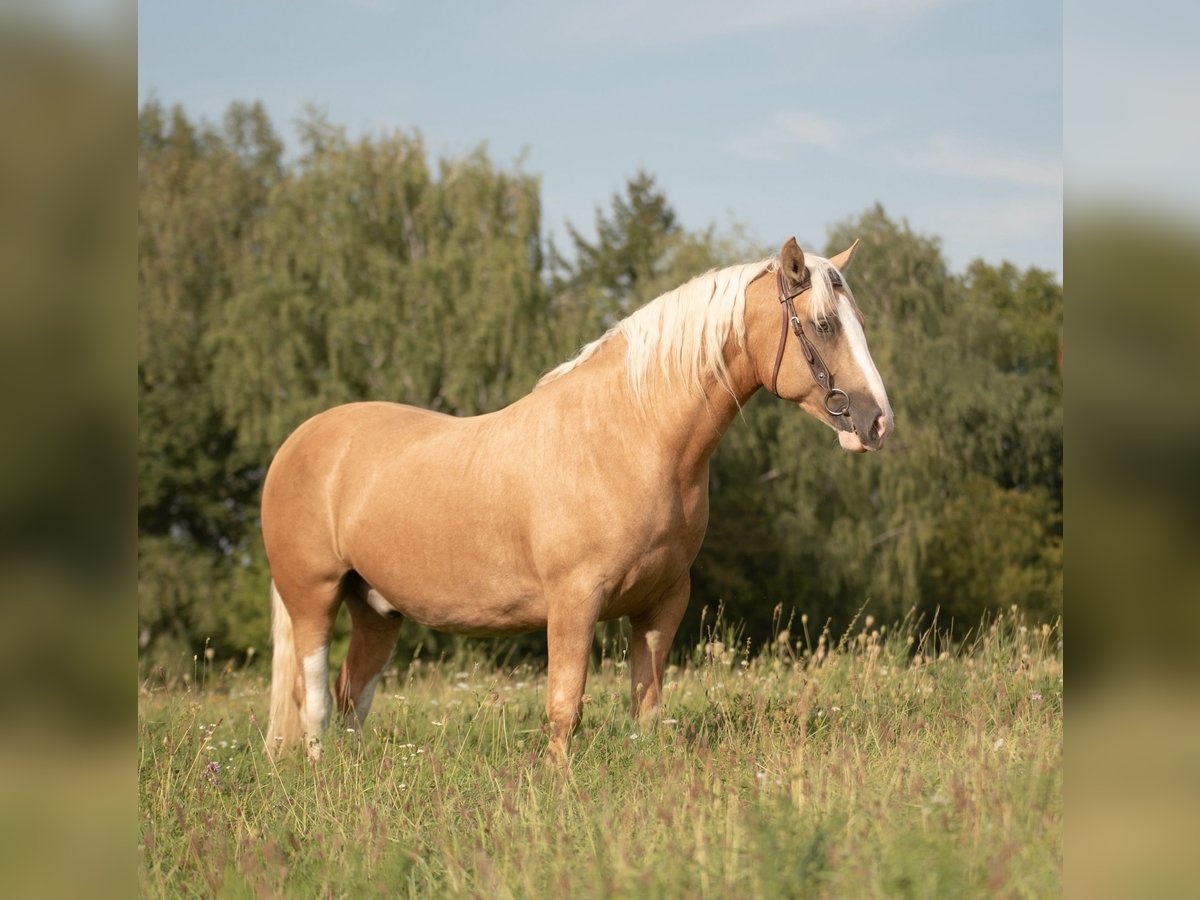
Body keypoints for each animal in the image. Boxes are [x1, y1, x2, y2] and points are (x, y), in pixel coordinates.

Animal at [267, 240, 897, 763]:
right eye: (823, 324)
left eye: (862, 323)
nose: (877, 422)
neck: (630, 436)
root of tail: (297, 442)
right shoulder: (574, 603)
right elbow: (564, 708)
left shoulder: (662, 604)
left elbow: (647, 708)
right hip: (313, 597)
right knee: (314, 699)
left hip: (376, 609)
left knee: (352, 696)